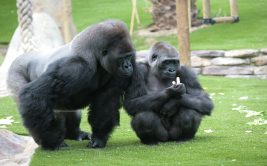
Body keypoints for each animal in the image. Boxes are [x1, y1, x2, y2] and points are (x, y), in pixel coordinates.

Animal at [6, 19, 136, 150]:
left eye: (129, 56)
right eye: (122, 58)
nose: (128, 66)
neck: (94, 55)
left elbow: (106, 101)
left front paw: (98, 138)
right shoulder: (73, 68)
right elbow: (34, 94)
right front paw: (52, 142)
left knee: (71, 112)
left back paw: (74, 133)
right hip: (15, 71)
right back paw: (44, 140)